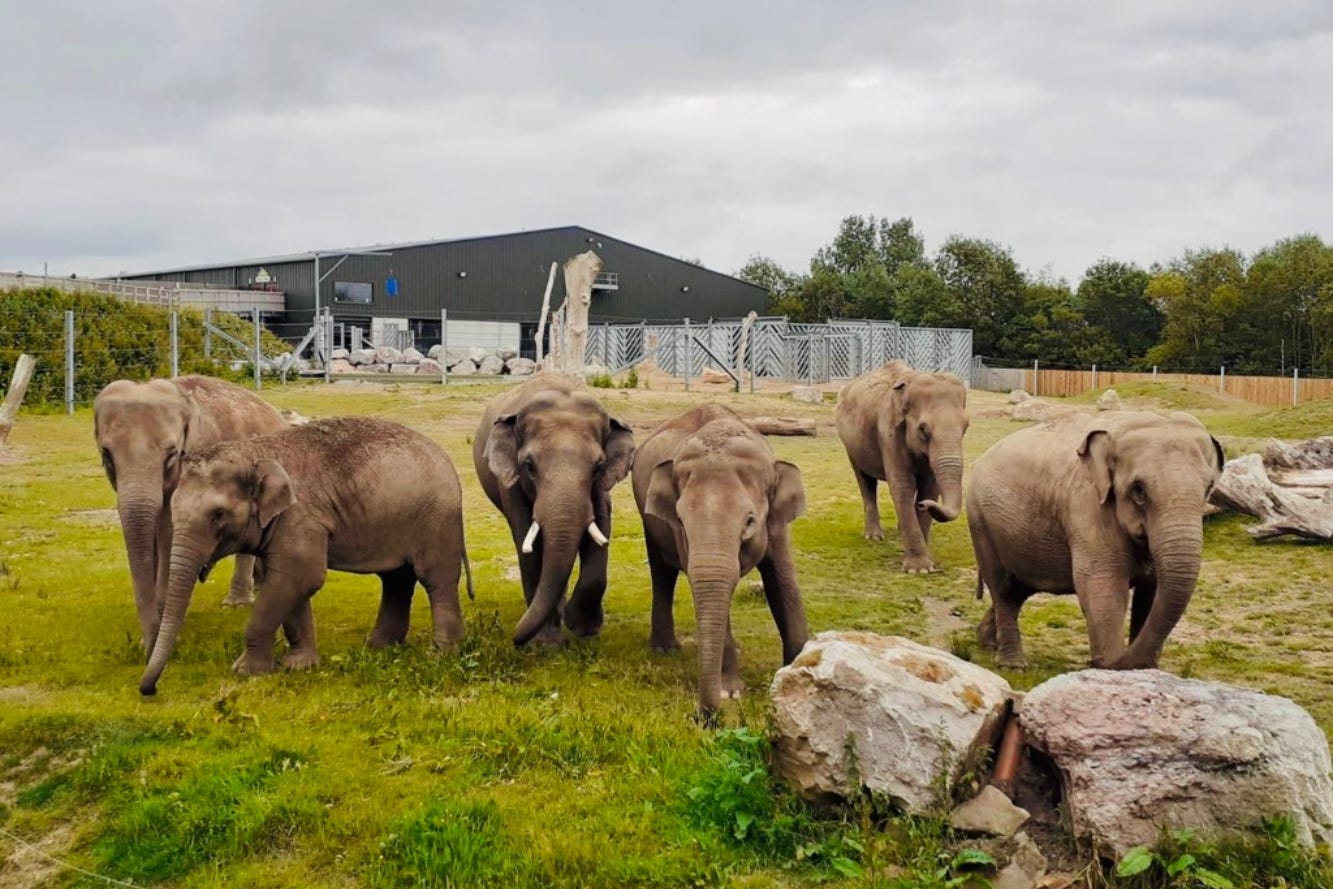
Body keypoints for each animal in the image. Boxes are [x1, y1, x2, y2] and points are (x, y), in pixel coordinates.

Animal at [138, 416, 472, 695]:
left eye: (218, 514)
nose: (149, 690)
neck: (255, 452)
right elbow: (287, 582)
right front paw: (299, 666)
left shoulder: (299, 516)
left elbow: (301, 577)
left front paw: (245, 672)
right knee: (396, 579)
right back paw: (379, 648)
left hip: (437, 518)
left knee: (435, 579)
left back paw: (440, 654)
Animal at [473, 373, 635, 647]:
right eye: (529, 465)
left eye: (598, 467)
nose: (514, 639)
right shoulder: (511, 485)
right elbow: (528, 541)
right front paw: (546, 644)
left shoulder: (601, 487)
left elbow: (601, 526)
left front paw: (583, 628)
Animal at [633, 404, 809, 719]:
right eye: (681, 521)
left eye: (750, 521)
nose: (706, 717)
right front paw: (731, 692)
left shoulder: (776, 525)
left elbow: (782, 582)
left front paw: (800, 670)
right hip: (648, 518)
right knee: (661, 572)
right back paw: (665, 649)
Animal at [834, 360, 969, 573]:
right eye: (923, 429)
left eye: (966, 427)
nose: (922, 506)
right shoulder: (888, 431)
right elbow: (903, 485)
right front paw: (919, 569)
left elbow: (930, 488)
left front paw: (926, 562)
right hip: (850, 445)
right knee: (865, 481)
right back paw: (873, 537)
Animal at [967, 410, 1224, 670]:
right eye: (1139, 490)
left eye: (1209, 487)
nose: (1095, 660)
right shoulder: (1087, 506)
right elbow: (1103, 584)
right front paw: (1110, 665)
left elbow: (1151, 592)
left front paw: (1146, 669)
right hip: (980, 521)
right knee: (1002, 586)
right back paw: (1013, 666)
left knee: (1019, 588)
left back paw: (987, 642)